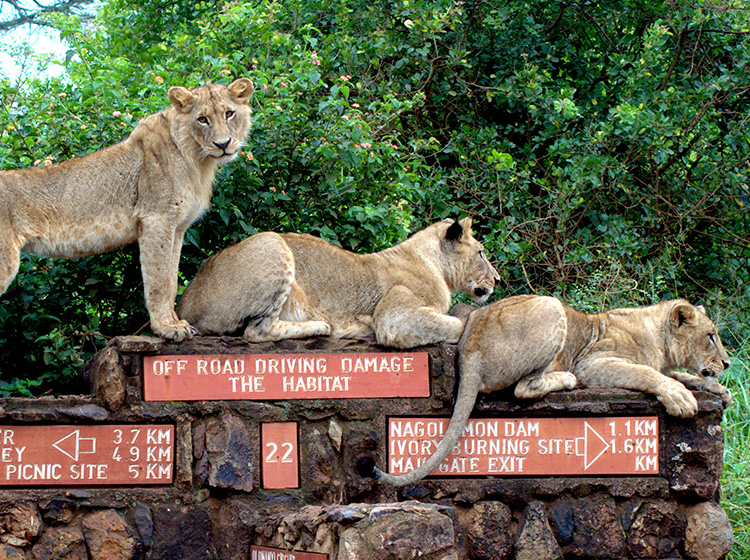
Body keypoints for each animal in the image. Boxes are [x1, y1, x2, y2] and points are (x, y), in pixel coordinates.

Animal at [0, 79, 253, 341]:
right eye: (202, 119)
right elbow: (158, 280)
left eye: (229, 114)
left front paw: (174, 322)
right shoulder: (156, 219)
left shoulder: (177, 228)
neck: (197, 160)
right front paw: (166, 327)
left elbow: (172, 279)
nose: (223, 144)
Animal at [176, 218, 500, 348]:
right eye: (481, 253)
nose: (498, 279)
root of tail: (183, 304)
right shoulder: (395, 318)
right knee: (257, 331)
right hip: (272, 242)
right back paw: (321, 326)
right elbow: (454, 324)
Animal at [362, 295, 732, 485]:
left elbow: (683, 375)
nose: (728, 363)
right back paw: (564, 380)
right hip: (551, 306)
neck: (660, 340)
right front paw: (680, 397)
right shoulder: (594, 363)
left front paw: (718, 389)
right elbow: (647, 372)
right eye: (711, 336)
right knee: (523, 389)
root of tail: (470, 349)